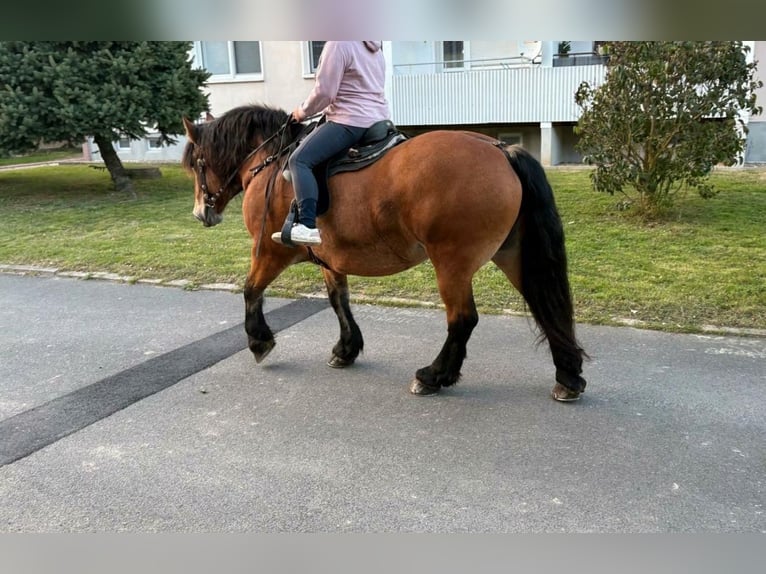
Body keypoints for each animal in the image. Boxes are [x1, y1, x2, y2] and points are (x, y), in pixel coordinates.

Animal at [183, 106, 592, 402]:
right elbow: (339, 300)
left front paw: (259, 340)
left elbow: (251, 290)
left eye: (197, 164)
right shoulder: (331, 258)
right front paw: (346, 349)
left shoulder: (269, 252)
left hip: (452, 264)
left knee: (463, 319)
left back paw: (433, 375)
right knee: (546, 305)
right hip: (513, 255)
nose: (202, 212)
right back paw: (568, 376)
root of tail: (500, 149)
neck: (272, 164)